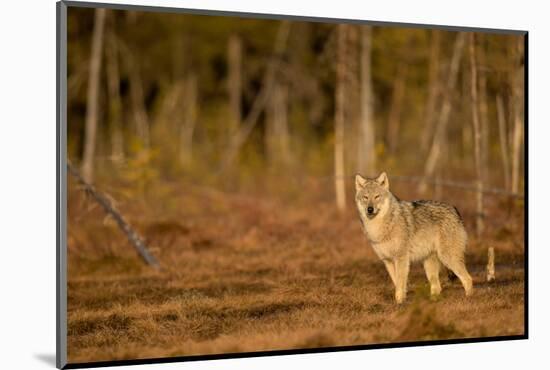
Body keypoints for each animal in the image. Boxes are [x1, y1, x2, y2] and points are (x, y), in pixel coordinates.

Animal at [356, 171, 476, 304]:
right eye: (365, 197)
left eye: (377, 196)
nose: (370, 209)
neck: (380, 227)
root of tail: (454, 209)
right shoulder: (387, 261)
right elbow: (396, 282)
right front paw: (401, 299)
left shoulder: (401, 258)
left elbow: (400, 283)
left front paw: (400, 302)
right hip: (429, 264)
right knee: (437, 286)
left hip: (447, 257)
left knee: (468, 279)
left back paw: (468, 299)